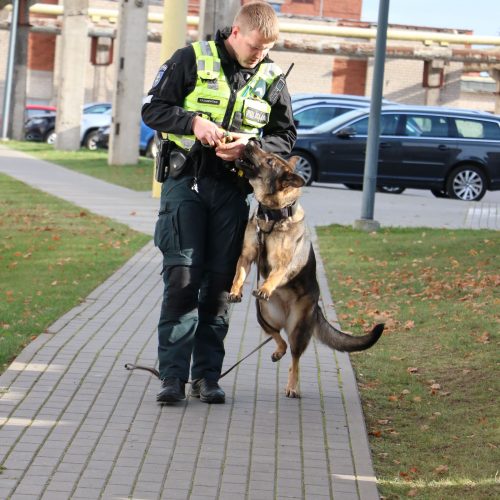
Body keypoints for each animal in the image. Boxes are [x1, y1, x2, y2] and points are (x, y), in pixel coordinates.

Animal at [229, 141, 384, 398]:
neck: (272, 215)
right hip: (263, 315)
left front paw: (267, 286)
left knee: (295, 357)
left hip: (298, 330)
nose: (251, 141)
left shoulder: (283, 263)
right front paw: (235, 291)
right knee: (278, 338)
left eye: (270, 160)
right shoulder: (248, 254)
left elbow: (275, 275)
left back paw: (292, 385)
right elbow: (238, 274)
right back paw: (277, 351)